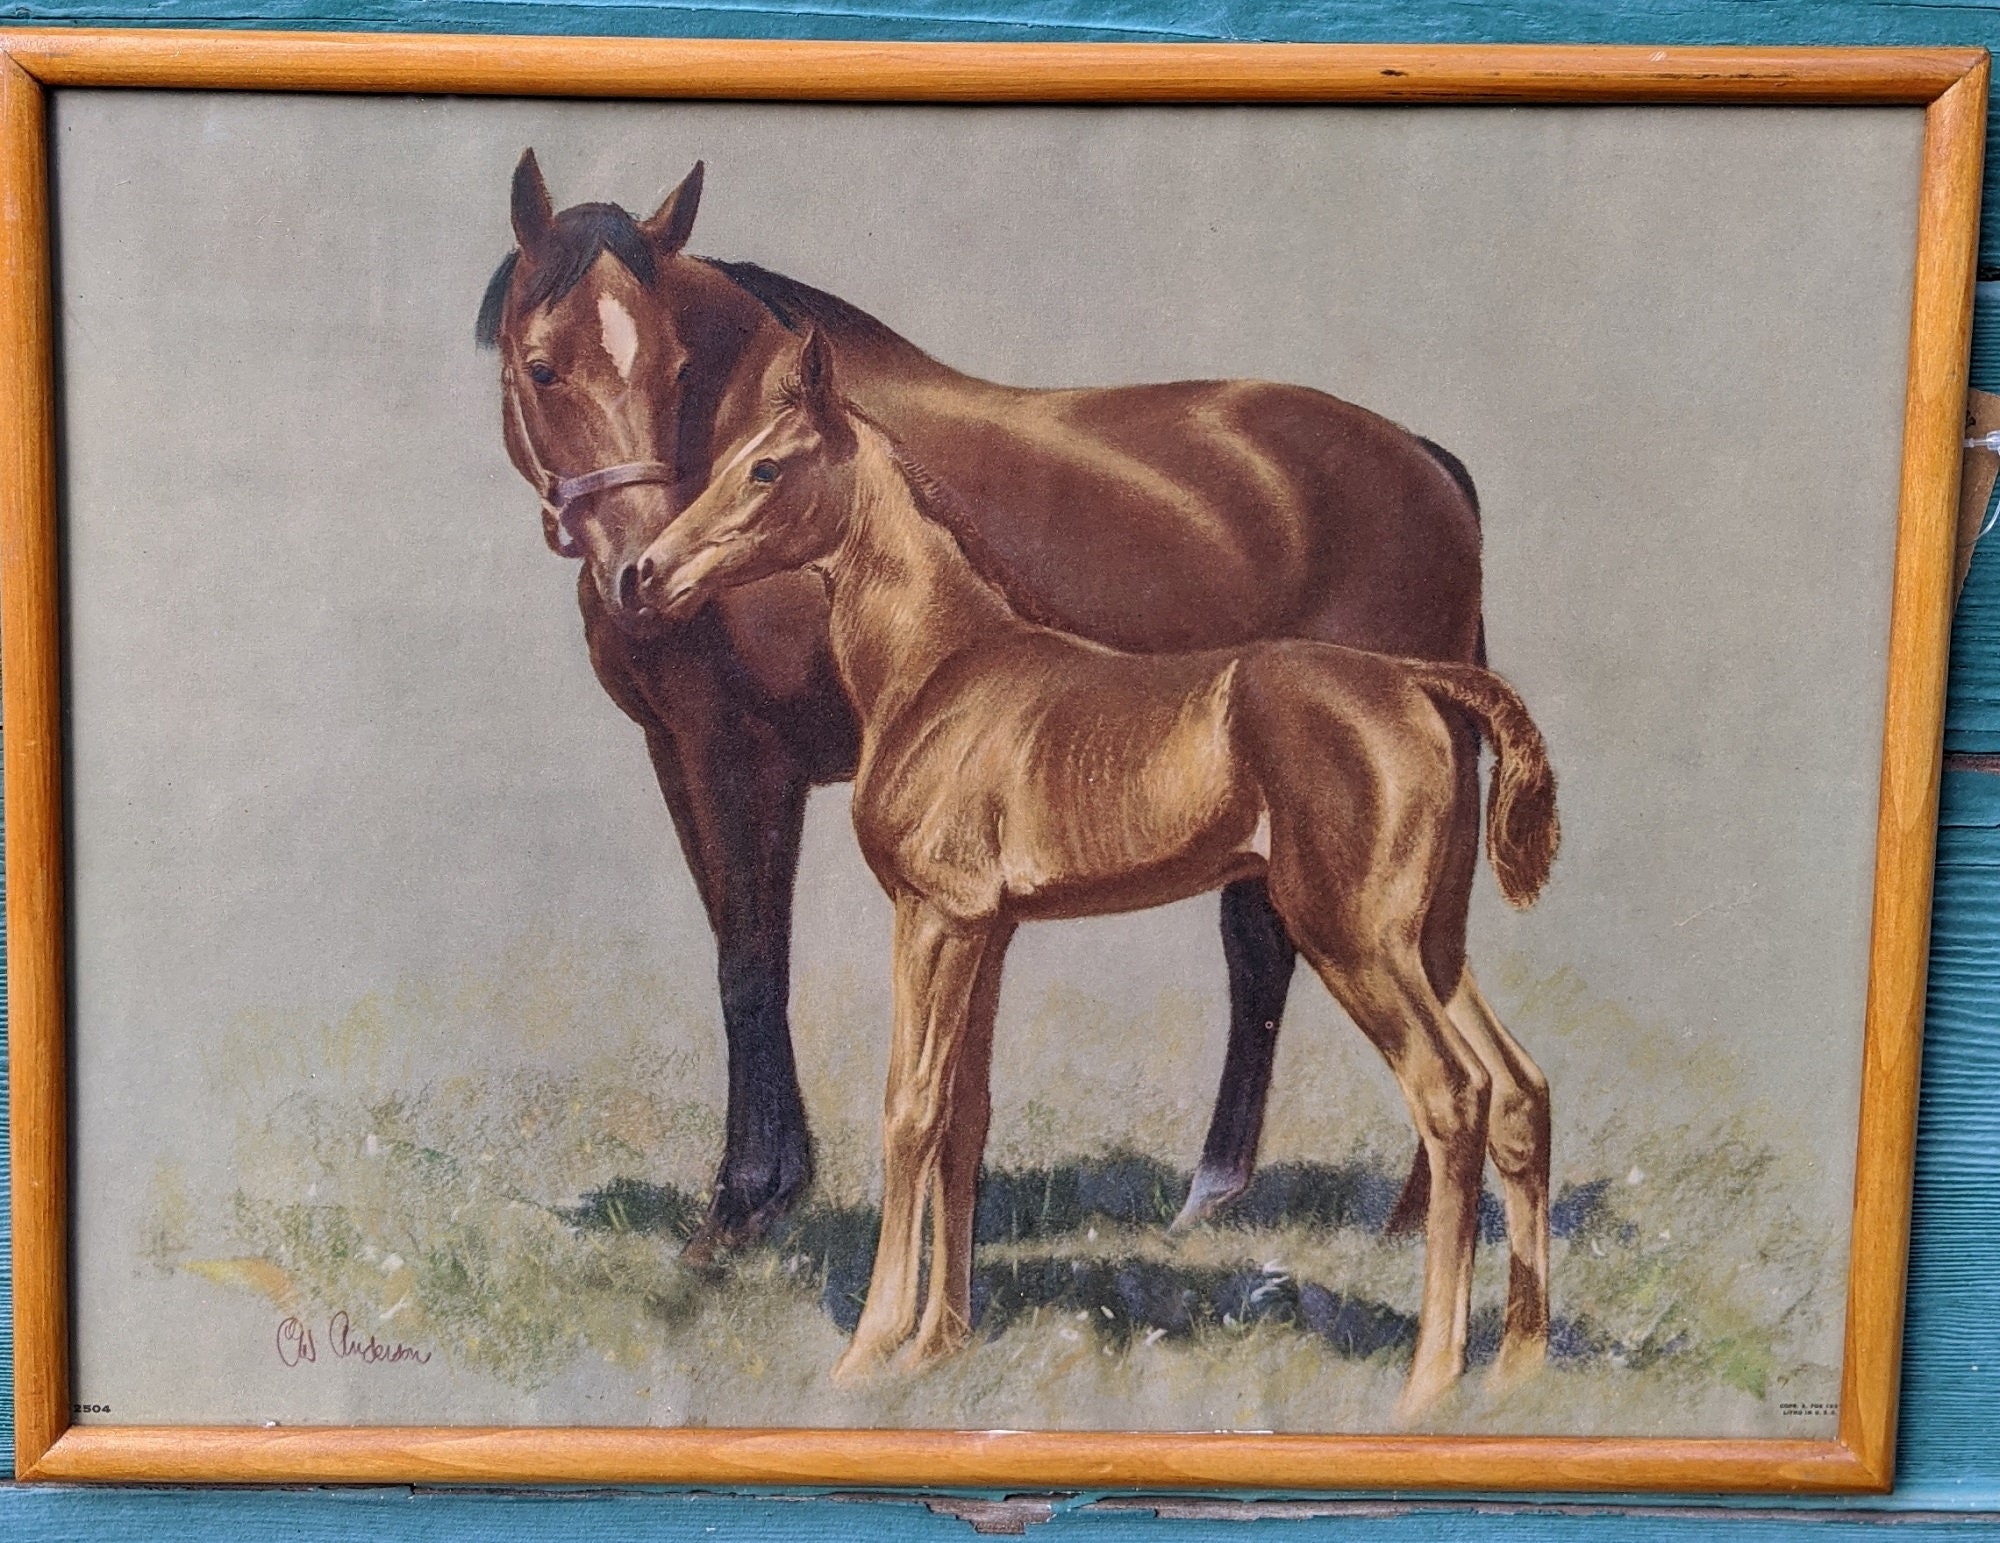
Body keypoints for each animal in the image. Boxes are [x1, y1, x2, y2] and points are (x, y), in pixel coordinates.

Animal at [478, 150, 1488, 1259]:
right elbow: (741, 953)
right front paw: (777, 1186)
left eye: (672, 369)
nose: (642, 571)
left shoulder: (744, 758)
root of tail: (1427, 460)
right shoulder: (683, 755)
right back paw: (1228, 1196)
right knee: (1294, 954)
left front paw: (741, 1204)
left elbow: (749, 962)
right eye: (542, 366)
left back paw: (1404, 1216)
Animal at [636, 330, 1558, 1423]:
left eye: (766, 468)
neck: (944, 667)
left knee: (1451, 1096)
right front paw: (938, 1344)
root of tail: (1416, 678)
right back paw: (1517, 1367)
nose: (644, 572)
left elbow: (909, 1111)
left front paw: (868, 1347)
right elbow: (965, 1119)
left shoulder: (933, 916)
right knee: (1519, 1090)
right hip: (1430, 941)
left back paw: (1428, 1382)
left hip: (1355, 940)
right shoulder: (988, 929)